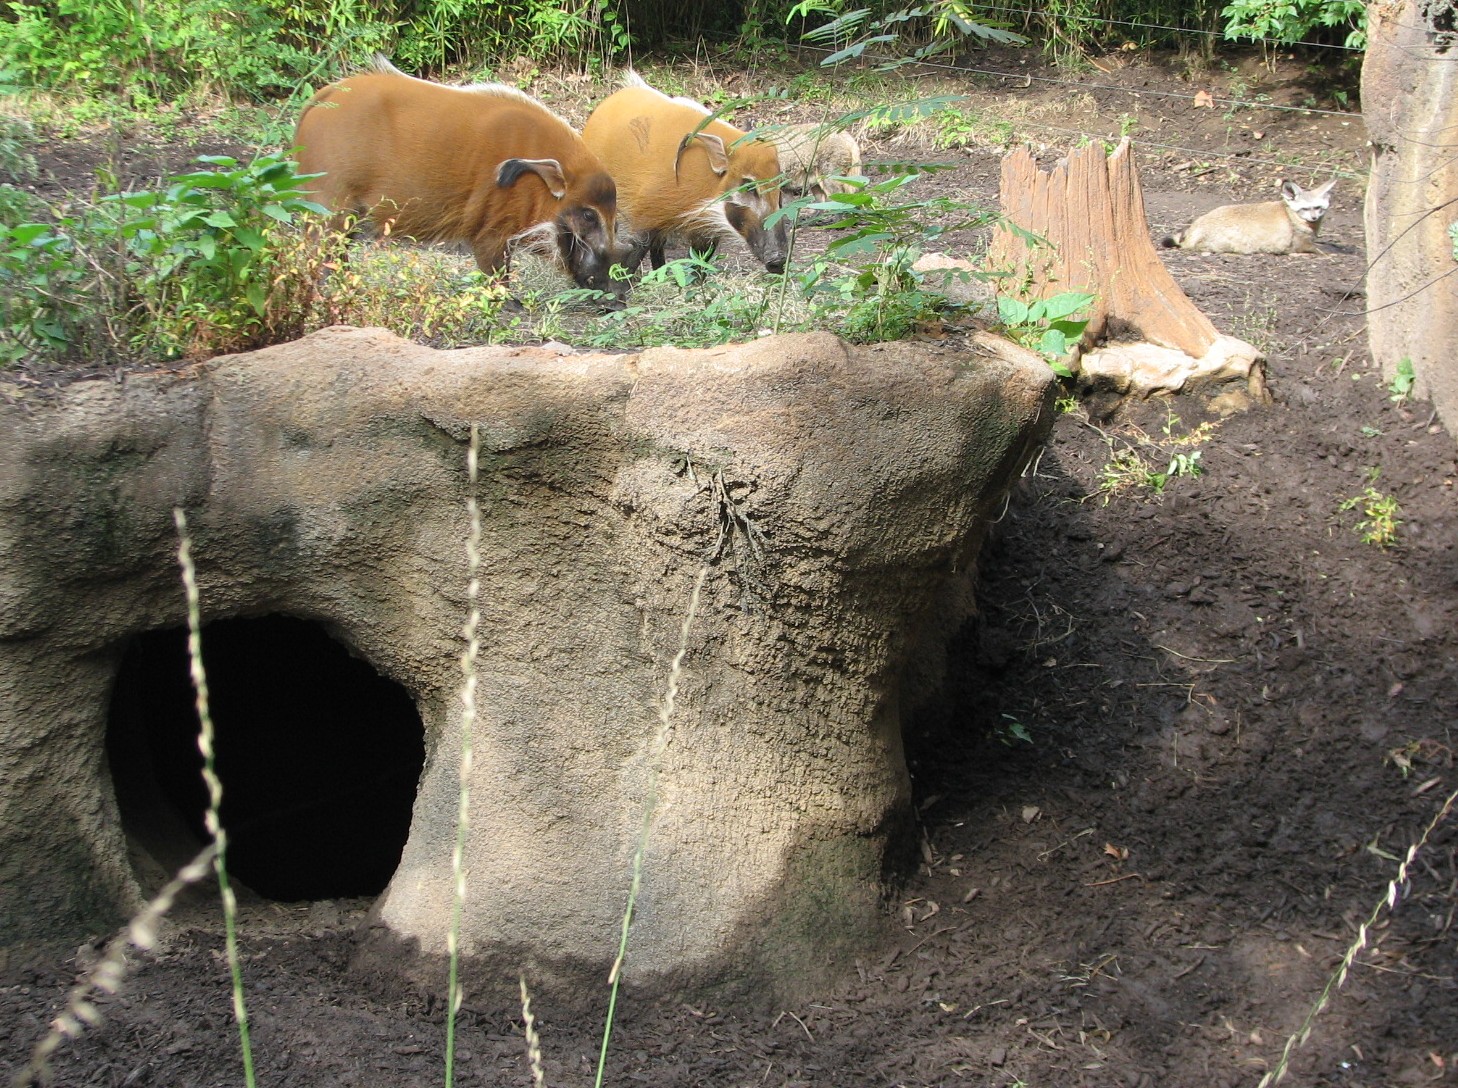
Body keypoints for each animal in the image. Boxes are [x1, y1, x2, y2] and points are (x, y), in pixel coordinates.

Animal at [1160, 179, 1335, 255]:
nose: (1313, 218)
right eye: (1304, 209)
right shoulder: (1301, 244)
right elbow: (1323, 249)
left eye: (1318, 208)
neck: (1289, 214)